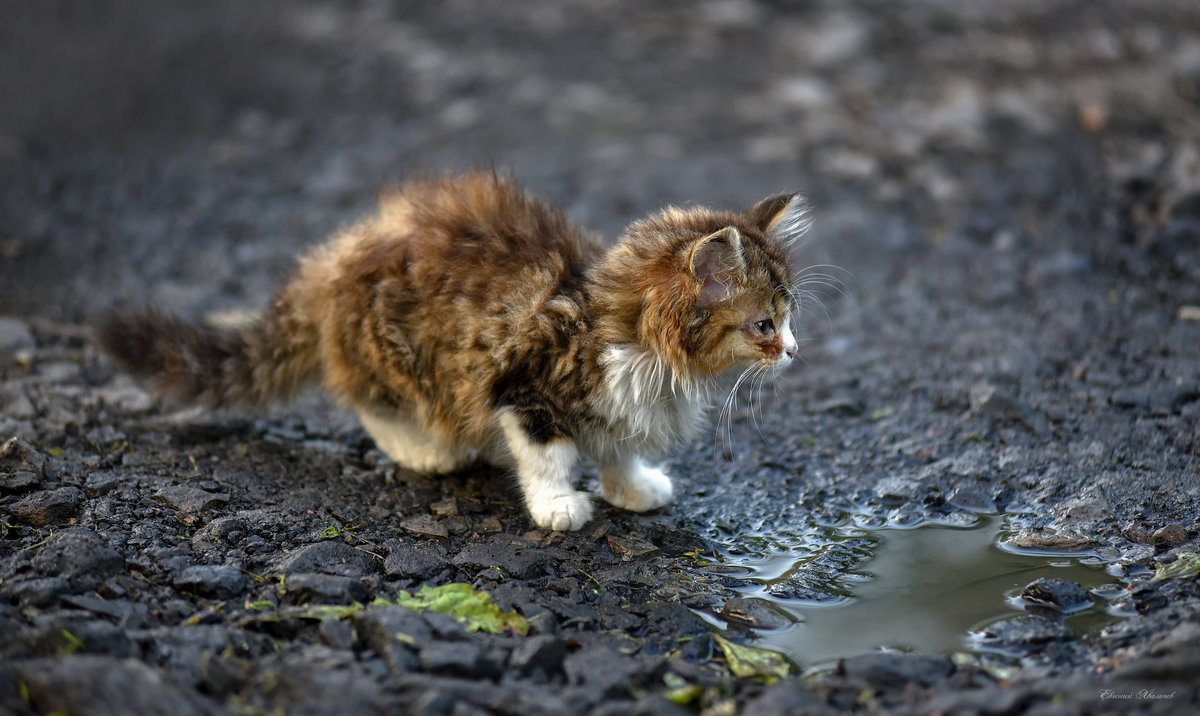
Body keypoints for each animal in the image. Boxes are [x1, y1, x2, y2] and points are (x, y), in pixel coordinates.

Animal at [98, 171, 811, 530]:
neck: (633, 345)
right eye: (763, 325)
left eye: (789, 316)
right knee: (366, 396)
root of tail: (329, 263)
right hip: (390, 346)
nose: (795, 352)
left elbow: (622, 444)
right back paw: (426, 448)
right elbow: (548, 453)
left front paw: (632, 486)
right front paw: (558, 506)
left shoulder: (622, 403)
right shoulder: (527, 385)